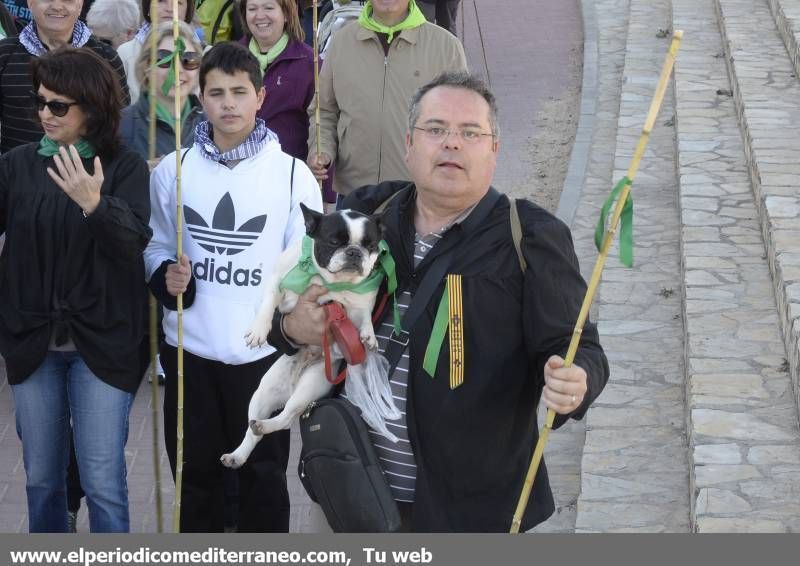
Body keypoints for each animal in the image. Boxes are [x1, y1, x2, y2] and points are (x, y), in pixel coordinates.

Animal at [217, 204, 382, 470]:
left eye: (371, 245)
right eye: (334, 241)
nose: (355, 252)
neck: (326, 279)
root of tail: (293, 383)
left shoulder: (361, 302)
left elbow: (365, 315)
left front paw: (369, 335)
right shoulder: (278, 281)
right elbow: (268, 303)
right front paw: (259, 330)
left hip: (311, 385)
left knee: (285, 418)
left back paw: (264, 426)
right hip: (263, 393)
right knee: (253, 431)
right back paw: (239, 453)